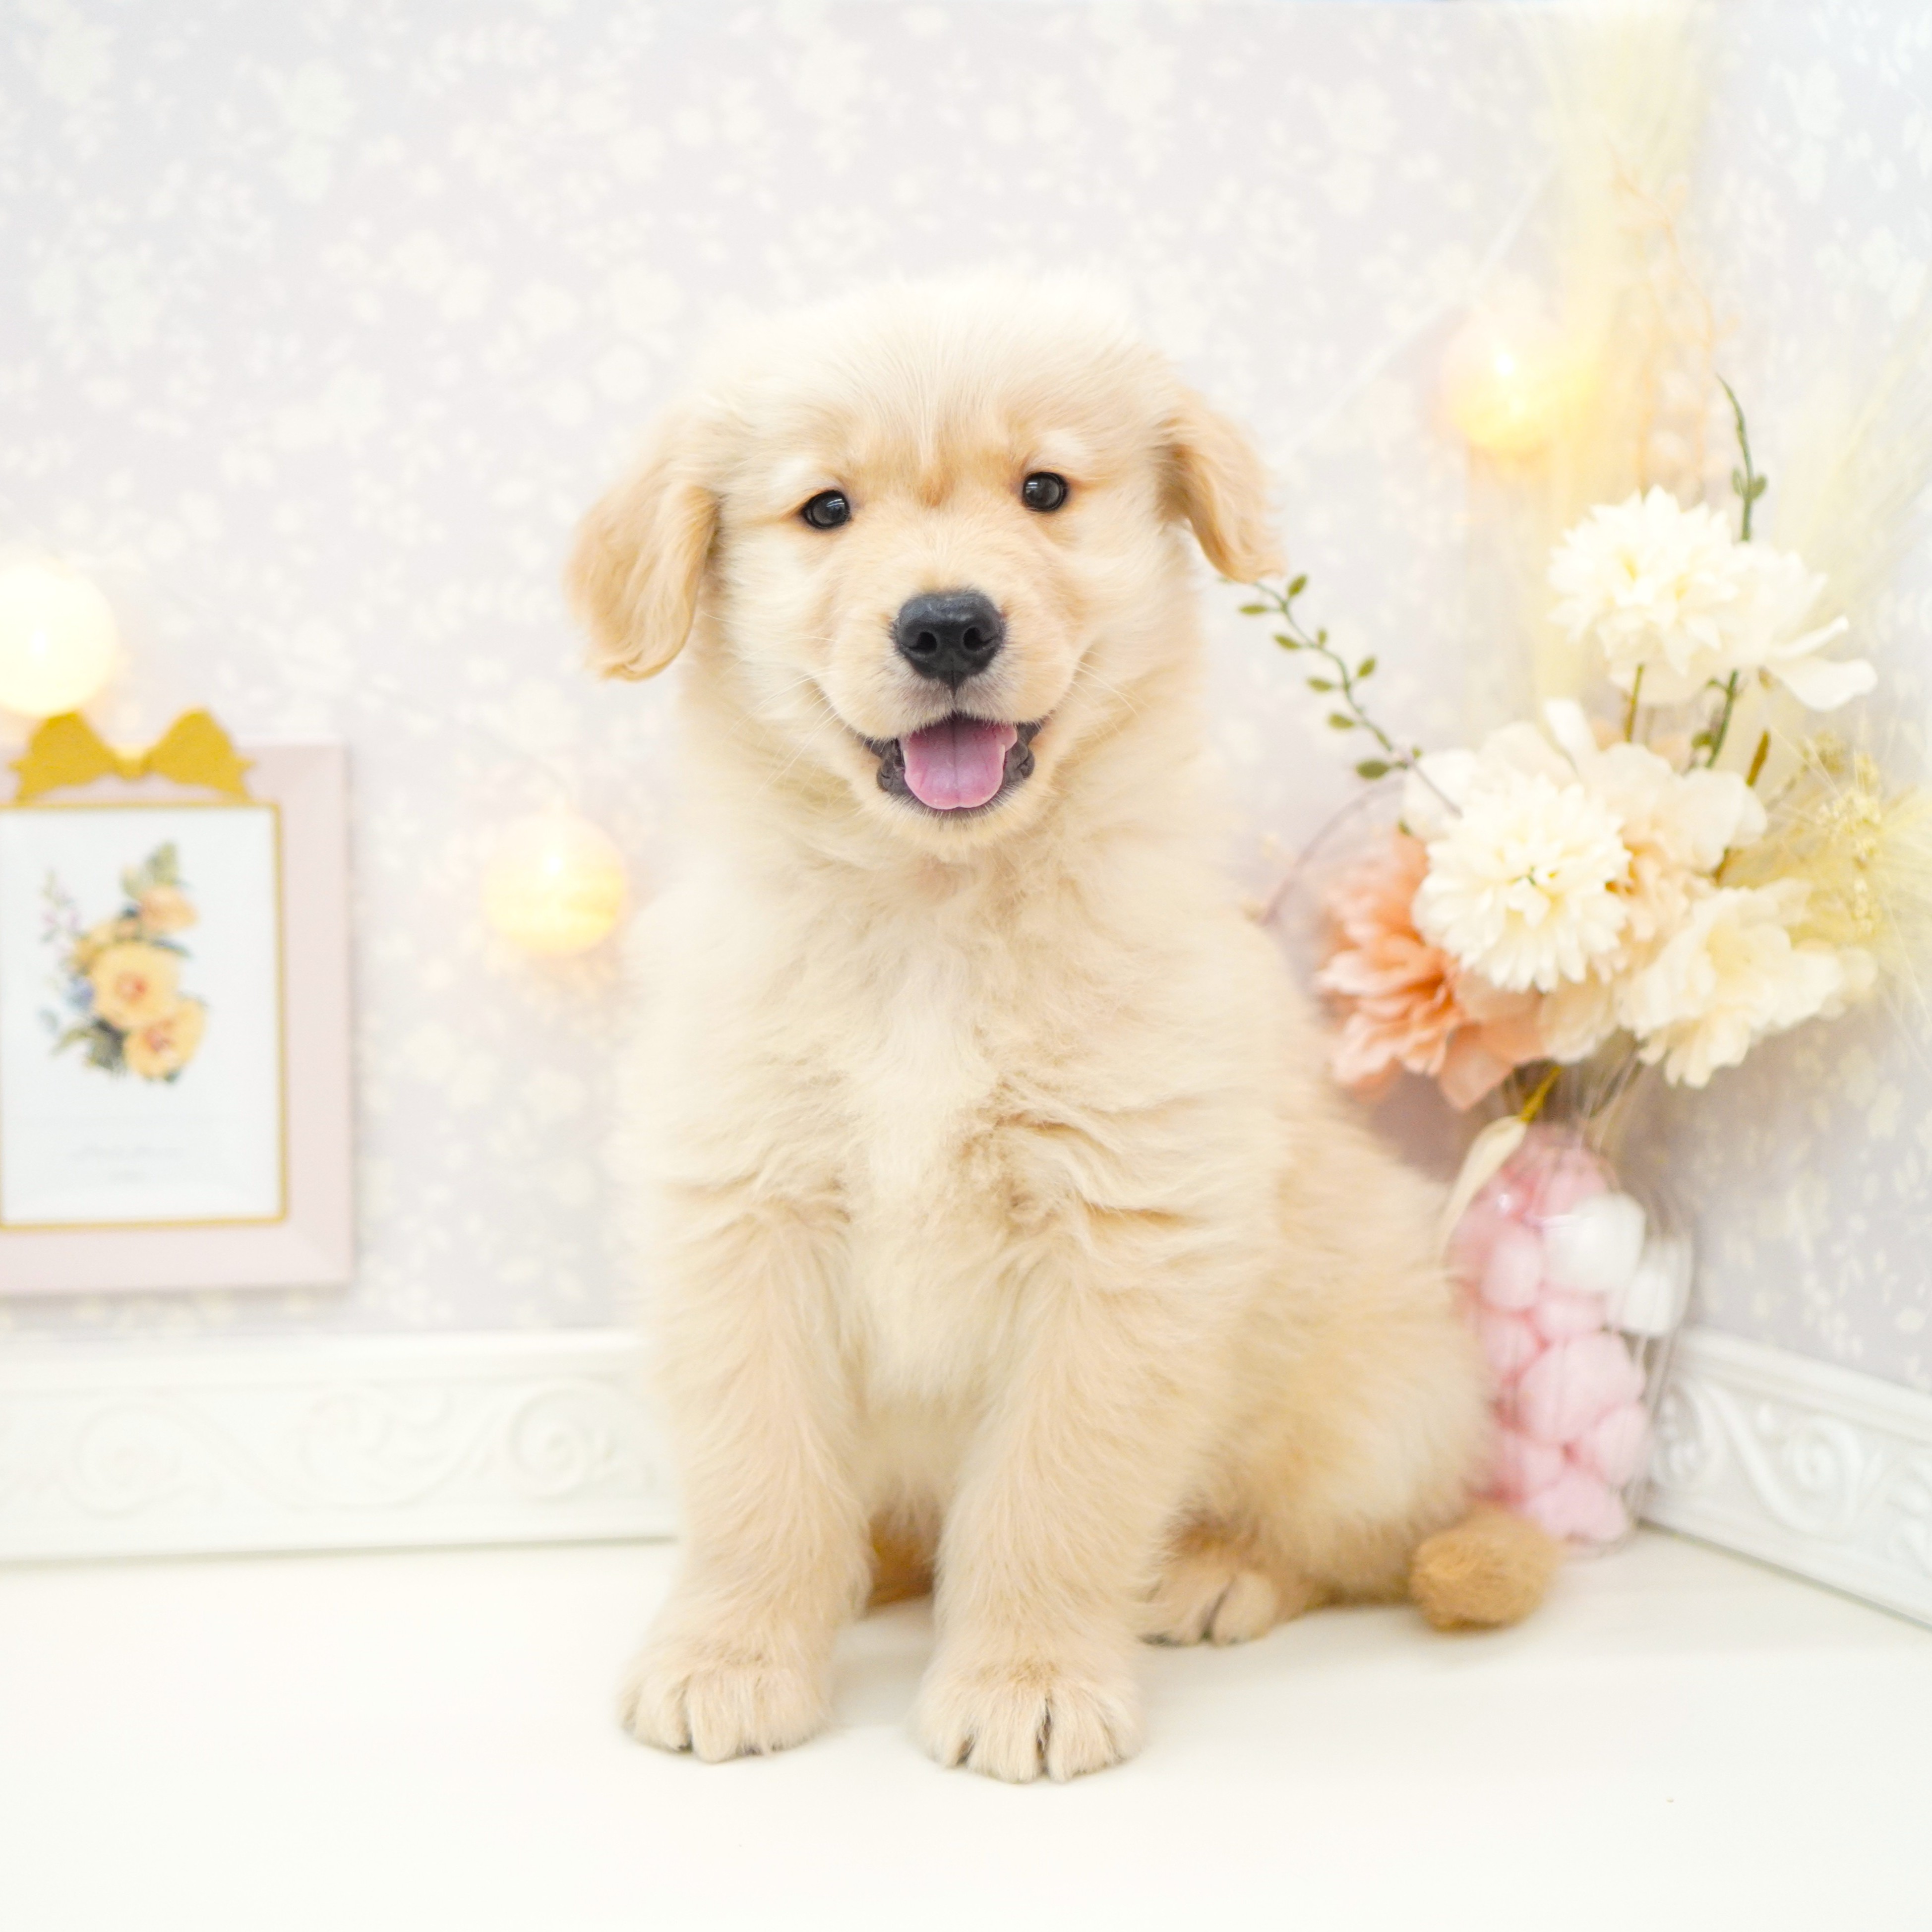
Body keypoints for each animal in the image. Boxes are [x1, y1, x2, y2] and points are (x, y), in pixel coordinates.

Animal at [567, 274, 1558, 1783]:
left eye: (1044, 491)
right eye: (824, 510)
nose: (947, 626)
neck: (934, 913)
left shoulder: (1121, 1238)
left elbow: (1049, 1492)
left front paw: (1024, 1677)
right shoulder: (743, 1218)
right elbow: (758, 1478)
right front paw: (734, 1651)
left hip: (1374, 1400)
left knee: (1351, 1543)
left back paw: (1217, 1568)